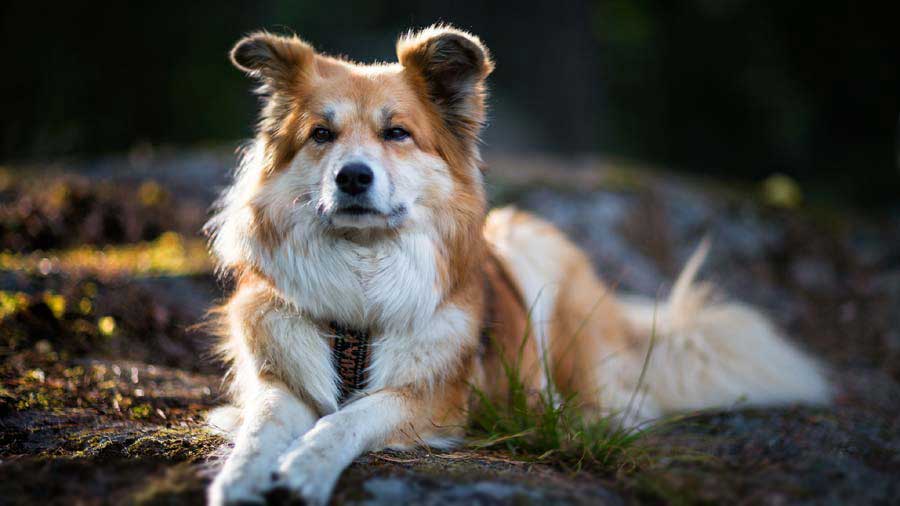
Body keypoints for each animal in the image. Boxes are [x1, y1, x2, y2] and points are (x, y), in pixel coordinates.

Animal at [204, 25, 828, 504]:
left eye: (397, 132)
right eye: (321, 134)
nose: (352, 176)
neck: (360, 281)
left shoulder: (435, 398)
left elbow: (349, 417)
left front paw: (306, 466)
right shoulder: (277, 377)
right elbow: (261, 425)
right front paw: (240, 476)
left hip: (542, 266)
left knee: (615, 398)